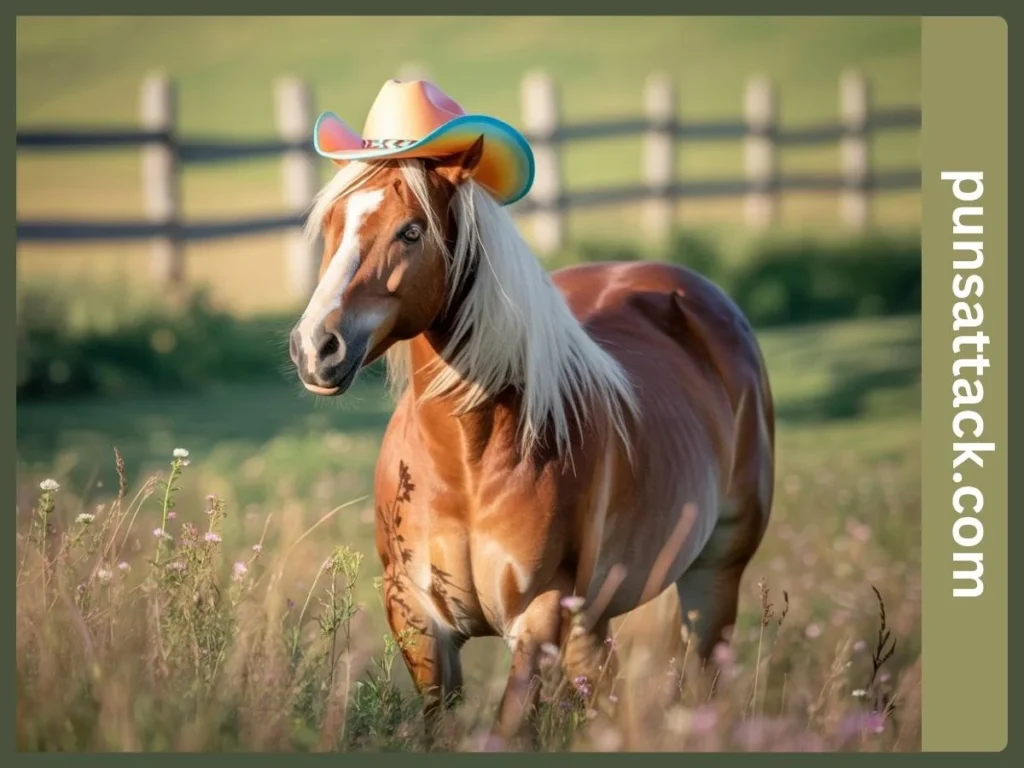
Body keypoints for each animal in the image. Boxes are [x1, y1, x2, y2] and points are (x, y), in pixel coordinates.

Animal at [287, 137, 775, 746]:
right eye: (332, 223)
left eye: (411, 231)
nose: (315, 347)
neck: (468, 460)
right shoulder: (417, 616)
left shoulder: (539, 613)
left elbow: (509, 726)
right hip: (595, 614)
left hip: (715, 576)